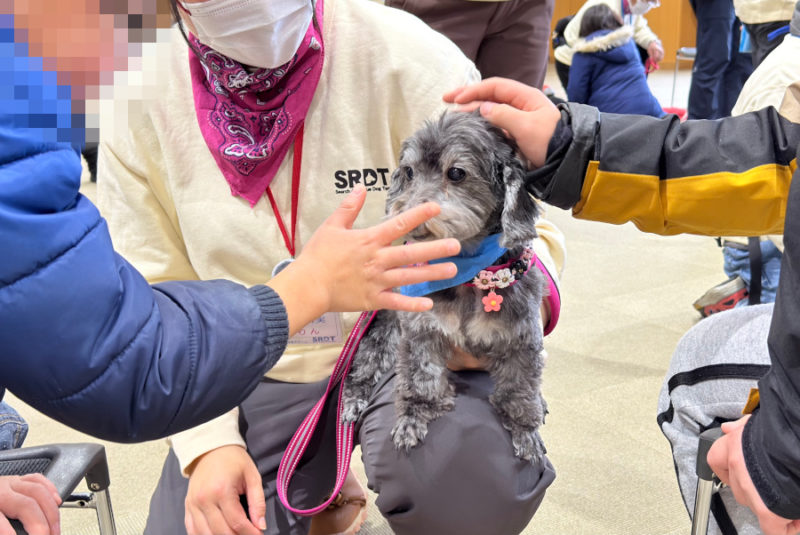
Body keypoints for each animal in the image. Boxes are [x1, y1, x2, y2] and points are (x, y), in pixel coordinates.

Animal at [341, 110, 547, 462]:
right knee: (362, 370)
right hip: (382, 337)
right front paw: (413, 419)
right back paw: (354, 399)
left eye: (456, 172)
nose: (406, 215)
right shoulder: (420, 332)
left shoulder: (521, 339)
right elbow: (420, 381)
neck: (466, 273)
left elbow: (520, 391)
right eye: (409, 172)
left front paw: (525, 431)